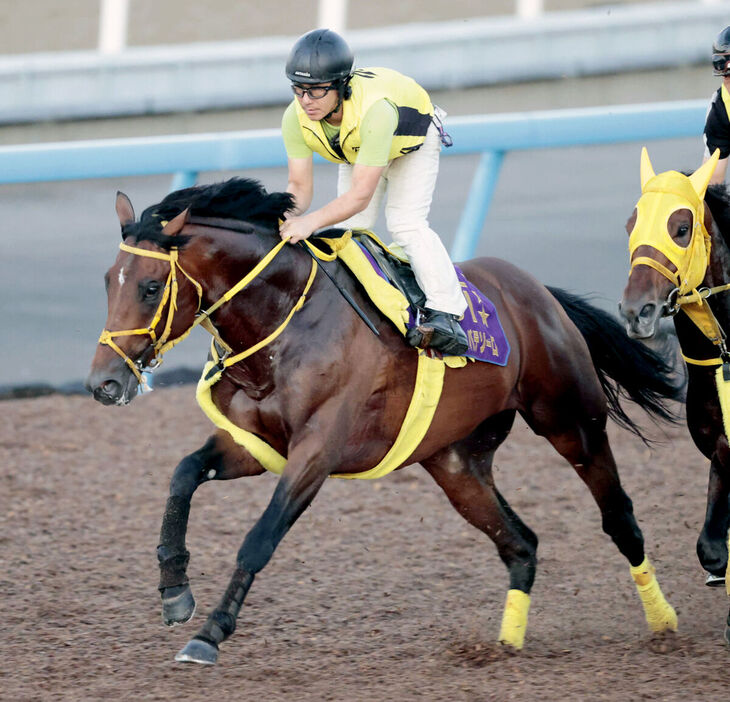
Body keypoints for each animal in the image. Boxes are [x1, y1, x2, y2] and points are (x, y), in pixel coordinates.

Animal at [86, 176, 684, 664]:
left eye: (150, 287)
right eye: (108, 281)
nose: (103, 384)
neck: (284, 323)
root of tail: (539, 292)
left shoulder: (317, 452)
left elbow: (259, 537)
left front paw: (210, 632)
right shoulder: (256, 445)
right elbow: (183, 474)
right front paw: (174, 591)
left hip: (572, 422)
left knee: (619, 519)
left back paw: (664, 624)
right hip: (456, 464)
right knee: (521, 544)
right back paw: (505, 644)